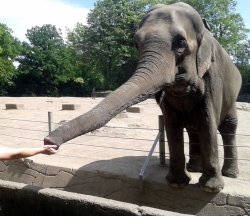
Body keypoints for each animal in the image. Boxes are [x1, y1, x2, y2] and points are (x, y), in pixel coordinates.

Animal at [44, 2, 242, 192]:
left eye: (180, 43)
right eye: (136, 44)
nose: (48, 142)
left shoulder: (213, 77)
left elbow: (207, 122)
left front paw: (210, 189)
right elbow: (172, 124)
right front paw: (177, 184)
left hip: (231, 97)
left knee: (227, 127)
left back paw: (230, 174)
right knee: (193, 129)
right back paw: (193, 168)